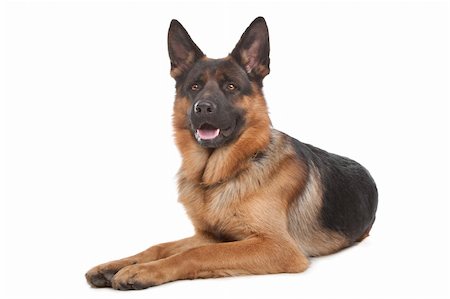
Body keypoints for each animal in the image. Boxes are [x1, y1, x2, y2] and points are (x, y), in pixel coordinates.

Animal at [84, 16, 376, 290]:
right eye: (194, 87)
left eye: (231, 86)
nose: (203, 108)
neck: (219, 175)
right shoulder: (208, 235)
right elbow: (160, 247)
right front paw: (118, 264)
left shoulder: (278, 247)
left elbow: (198, 254)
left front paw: (142, 271)